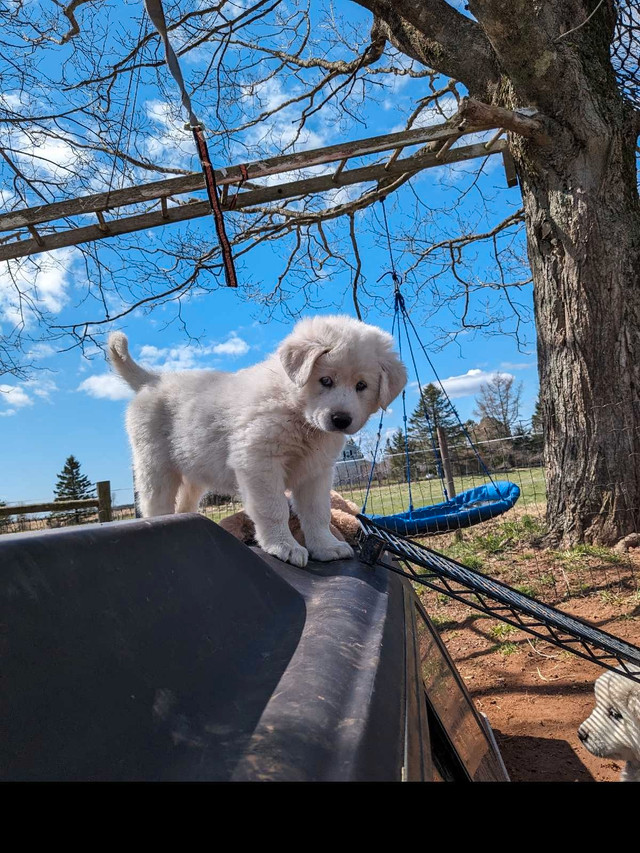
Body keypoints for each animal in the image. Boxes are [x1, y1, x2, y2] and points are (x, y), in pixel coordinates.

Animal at [109, 312, 404, 564]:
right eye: (326, 380)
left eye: (361, 386)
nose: (341, 419)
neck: (297, 413)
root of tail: (153, 380)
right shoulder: (260, 462)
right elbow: (274, 509)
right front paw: (284, 546)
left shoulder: (316, 473)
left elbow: (318, 512)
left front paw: (325, 546)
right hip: (156, 466)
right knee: (155, 504)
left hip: (193, 471)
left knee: (184, 502)